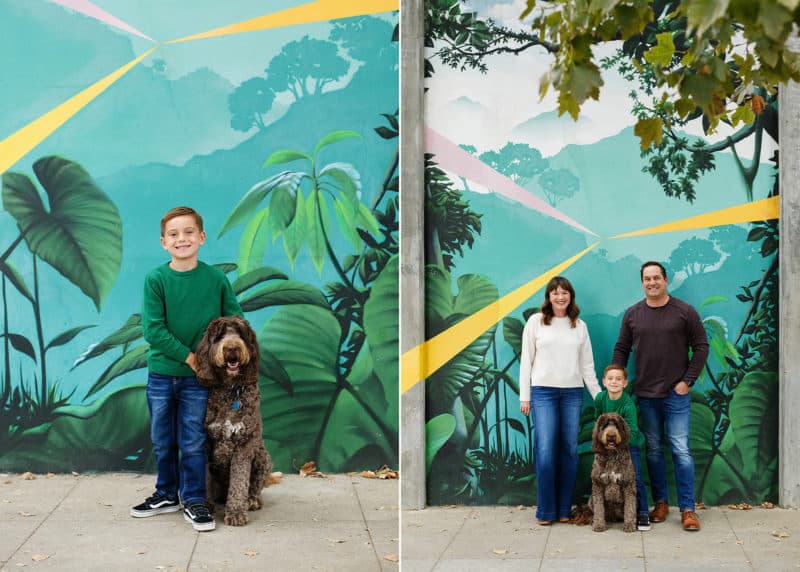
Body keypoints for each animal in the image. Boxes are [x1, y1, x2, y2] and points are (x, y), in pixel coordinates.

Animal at [194, 316, 272, 524]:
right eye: (220, 336)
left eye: (241, 335)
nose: (231, 348)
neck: (230, 390)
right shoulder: (205, 441)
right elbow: (203, 477)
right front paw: (205, 506)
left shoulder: (244, 443)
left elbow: (239, 480)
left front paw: (236, 513)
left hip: (262, 456)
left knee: (254, 485)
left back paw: (252, 500)